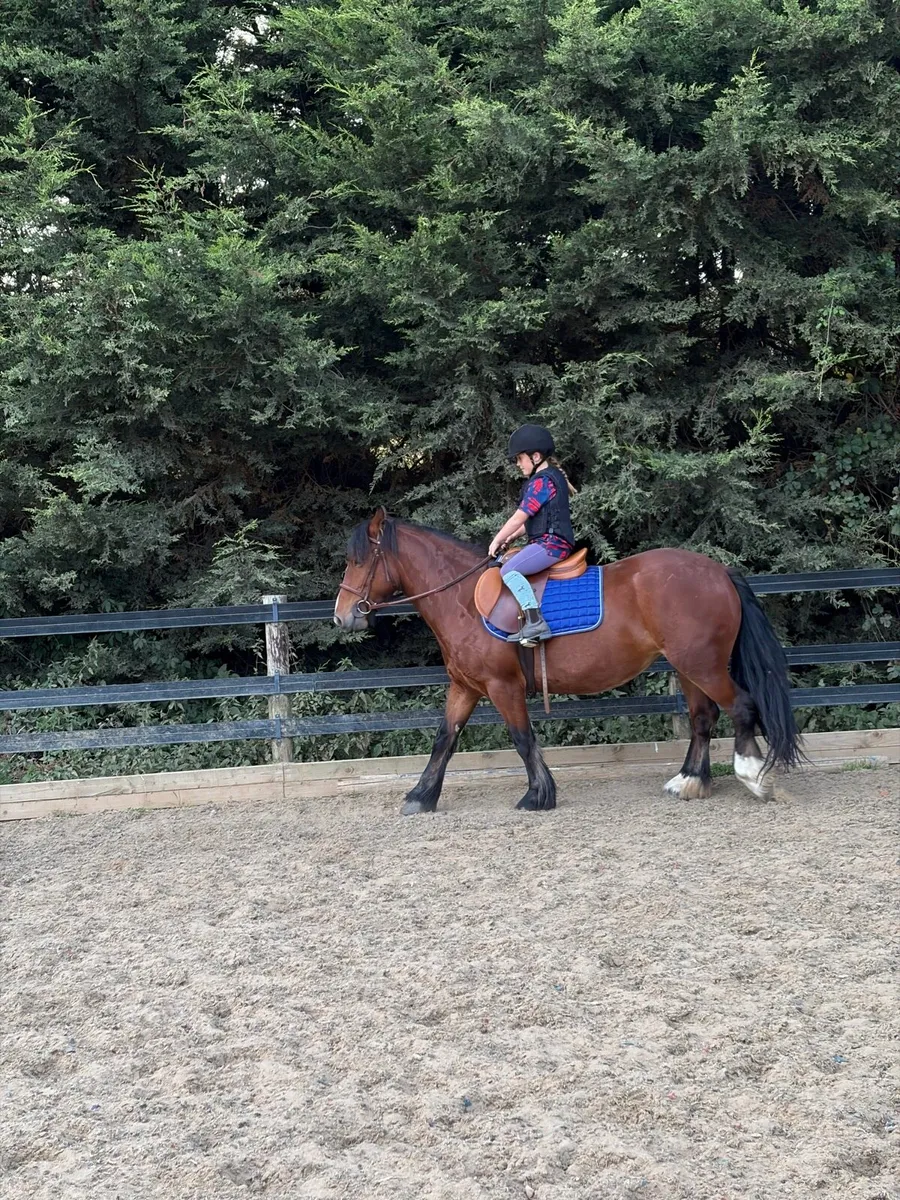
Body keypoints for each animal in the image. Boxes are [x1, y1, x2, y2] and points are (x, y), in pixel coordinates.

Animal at [333, 508, 802, 814]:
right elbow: (444, 739)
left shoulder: (502, 686)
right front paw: (421, 796)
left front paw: (538, 796)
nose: (342, 616)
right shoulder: (466, 687)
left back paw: (753, 777)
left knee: (740, 707)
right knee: (703, 717)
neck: (464, 600)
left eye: (358, 560)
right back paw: (690, 782)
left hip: (703, 665)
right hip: (689, 668)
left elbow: (522, 739)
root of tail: (719, 572)